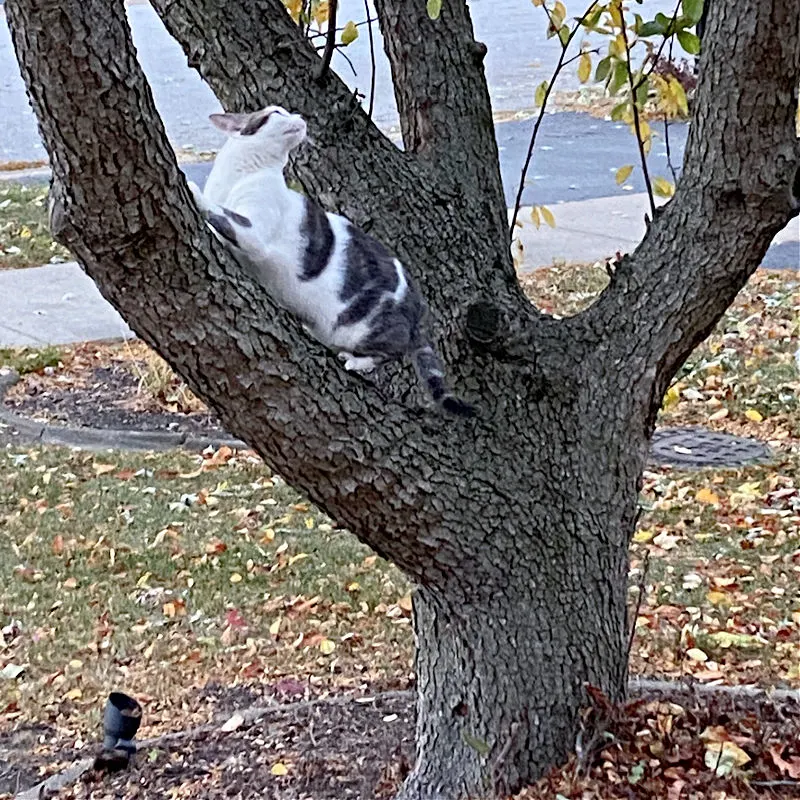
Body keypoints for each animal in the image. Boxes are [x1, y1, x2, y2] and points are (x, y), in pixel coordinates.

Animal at [188, 106, 472, 418]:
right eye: (276, 111)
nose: (298, 115)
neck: (240, 174)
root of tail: (419, 304)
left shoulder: (254, 234)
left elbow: (221, 214)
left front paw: (192, 190)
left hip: (359, 327)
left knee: (394, 350)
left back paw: (357, 361)